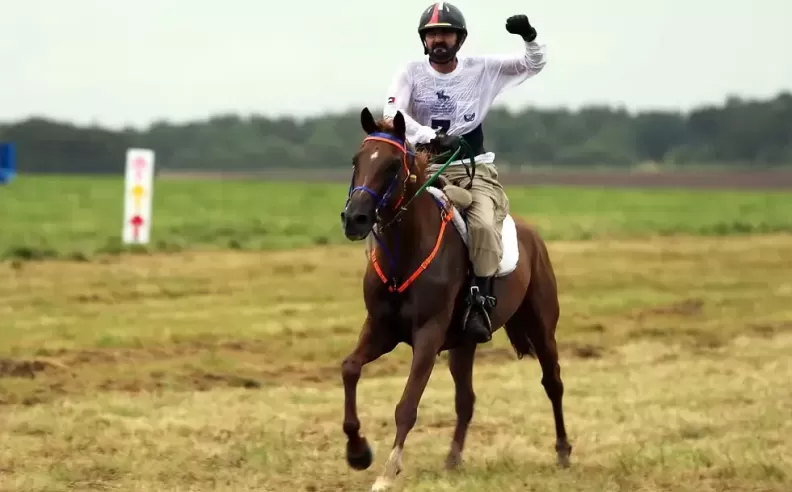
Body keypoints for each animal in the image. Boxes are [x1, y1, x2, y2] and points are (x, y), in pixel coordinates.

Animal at [338, 107, 572, 491]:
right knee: (466, 400)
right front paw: (358, 453)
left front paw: (387, 472)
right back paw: (452, 460)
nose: (355, 218)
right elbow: (350, 368)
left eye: (392, 165)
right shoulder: (380, 330)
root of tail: (532, 236)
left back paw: (564, 451)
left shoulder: (428, 336)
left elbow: (407, 405)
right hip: (464, 344)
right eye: (356, 160)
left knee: (552, 382)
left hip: (541, 327)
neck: (405, 254)